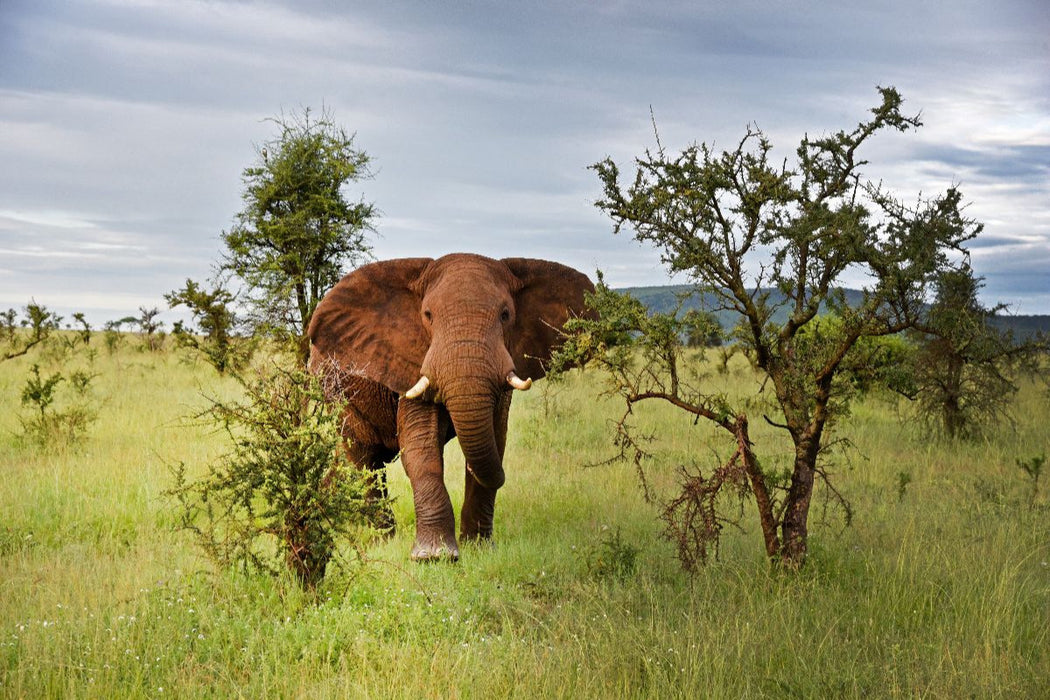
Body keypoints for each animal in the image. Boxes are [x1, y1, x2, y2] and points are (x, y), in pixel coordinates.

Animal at [307, 253, 594, 561]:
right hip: (336, 393)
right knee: (364, 459)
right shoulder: (413, 360)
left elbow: (496, 437)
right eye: (428, 315)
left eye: (505, 315)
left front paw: (479, 549)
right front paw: (434, 556)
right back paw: (381, 540)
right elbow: (421, 445)